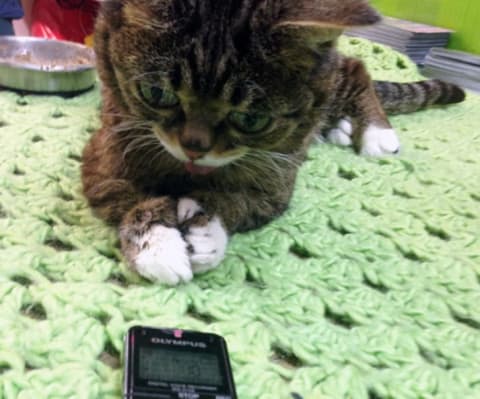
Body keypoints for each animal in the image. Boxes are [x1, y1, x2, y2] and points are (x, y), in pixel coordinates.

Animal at [82, 0, 464, 284]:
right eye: (156, 93)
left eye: (251, 120)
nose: (194, 147)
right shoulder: (105, 153)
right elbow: (125, 195)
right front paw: (159, 247)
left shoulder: (278, 178)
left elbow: (244, 201)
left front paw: (206, 230)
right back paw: (339, 128)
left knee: (356, 68)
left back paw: (375, 132)